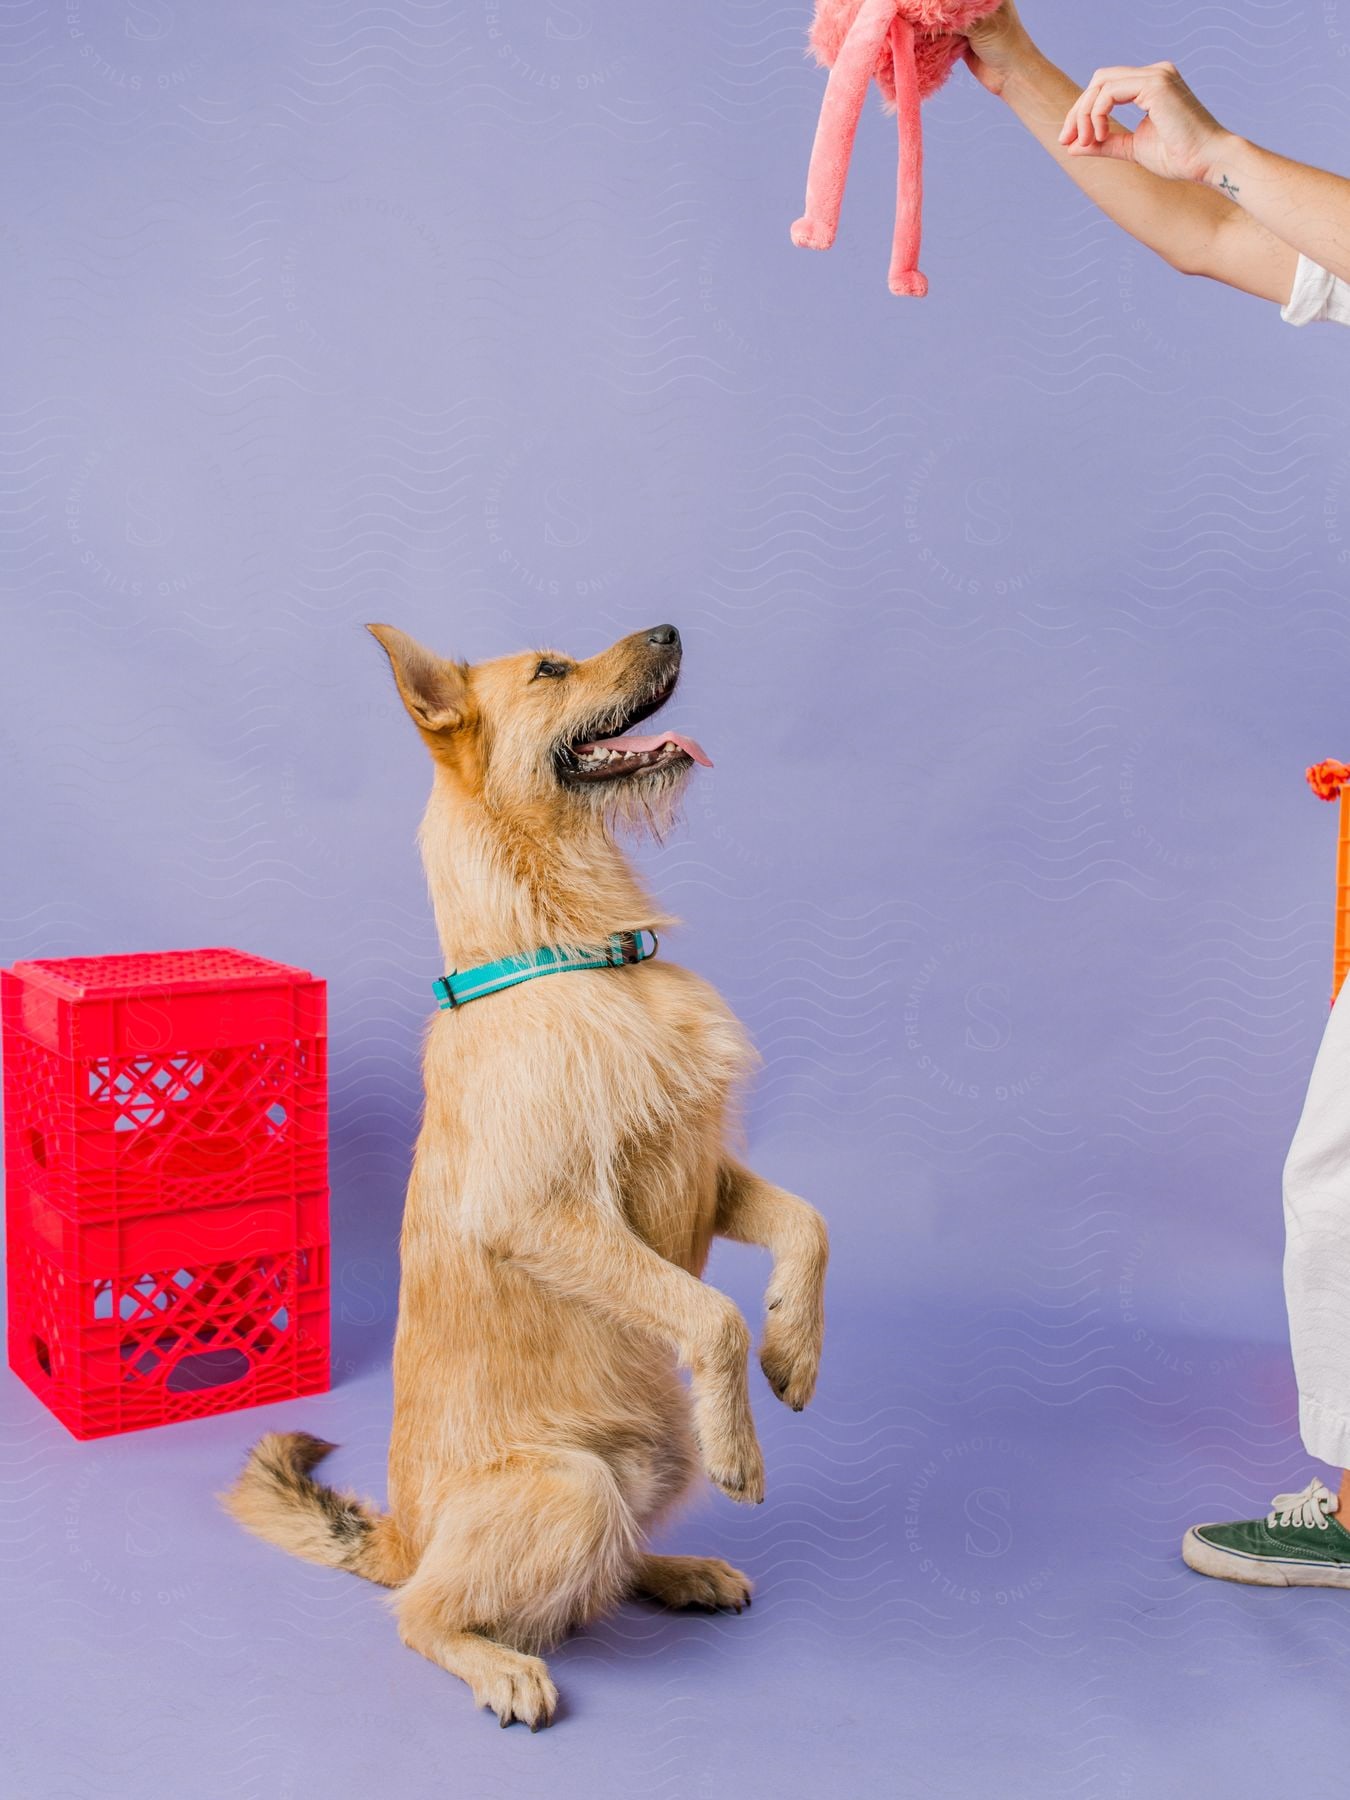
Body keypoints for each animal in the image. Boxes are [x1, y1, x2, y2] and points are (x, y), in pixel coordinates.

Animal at [225, 622, 824, 1728]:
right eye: (550, 671)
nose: (672, 629)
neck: (566, 945)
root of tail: (403, 1537)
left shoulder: (704, 1172)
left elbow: (809, 1226)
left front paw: (794, 1352)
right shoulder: (546, 1214)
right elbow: (708, 1313)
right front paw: (744, 1441)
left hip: (649, 1452)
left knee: (605, 1572)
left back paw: (679, 1571)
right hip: (569, 1487)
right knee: (428, 1610)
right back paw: (496, 1662)